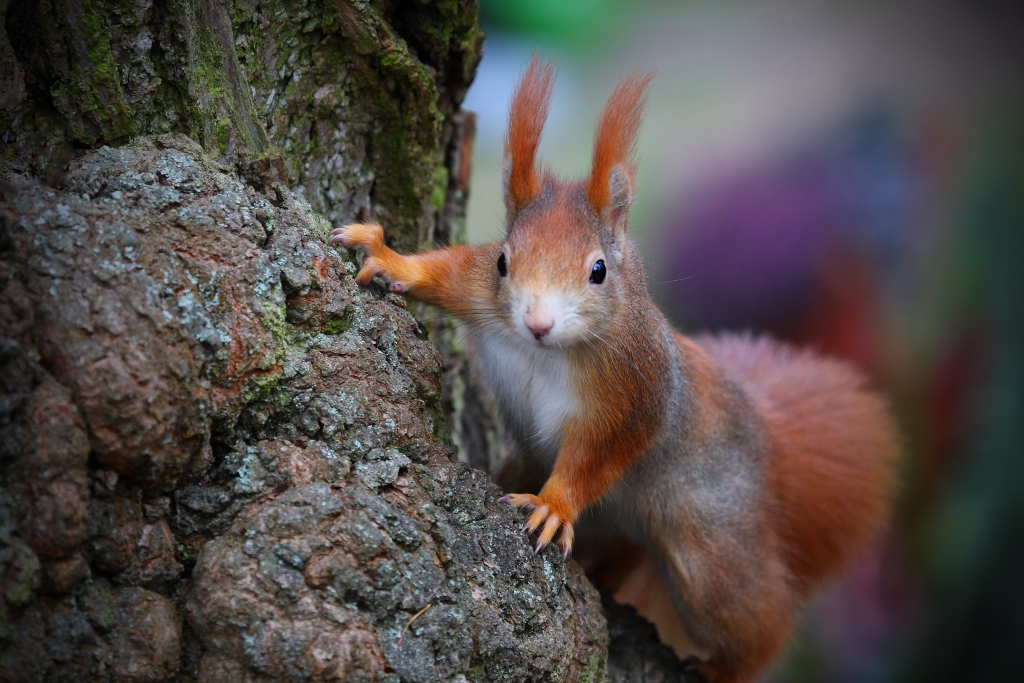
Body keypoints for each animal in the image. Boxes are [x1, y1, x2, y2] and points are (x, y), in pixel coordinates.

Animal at [331, 57, 901, 683]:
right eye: (504, 261)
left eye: (599, 270)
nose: (536, 322)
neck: (547, 352)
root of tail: (763, 436)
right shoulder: (477, 288)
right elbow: (442, 271)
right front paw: (388, 257)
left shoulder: (634, 389)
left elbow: (598, 452)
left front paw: (554, 506)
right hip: (596, 514)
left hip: (712, 550)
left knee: (755, 620)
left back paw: (726, 667)